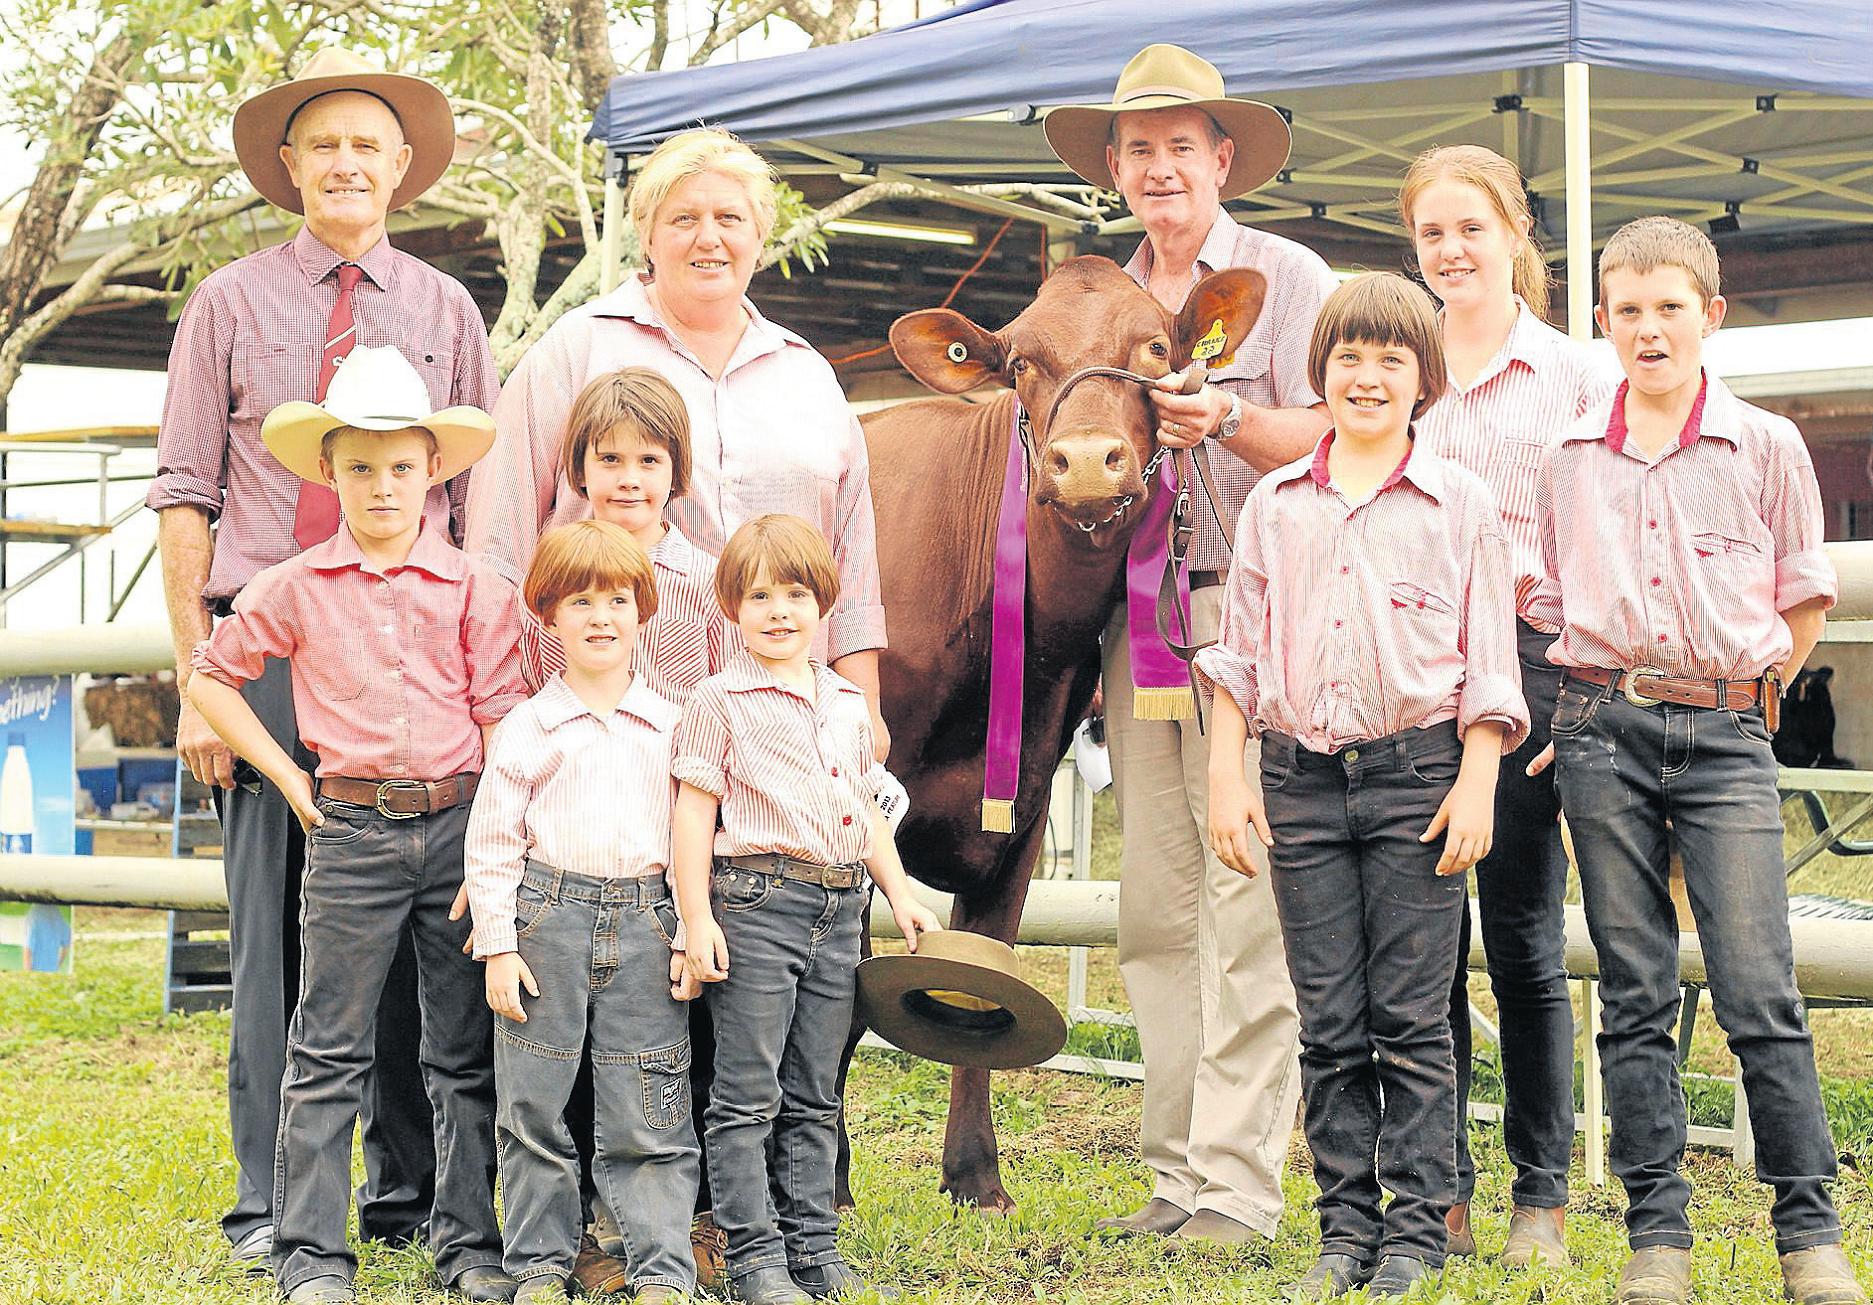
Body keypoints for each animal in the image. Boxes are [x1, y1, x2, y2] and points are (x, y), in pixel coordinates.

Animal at [842, 256, 1266, 1213]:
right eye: (1022, 362)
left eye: (1155, 349)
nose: (1084, 464)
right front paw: (825, 1182)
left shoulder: (1024, 810)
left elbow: (981, 981)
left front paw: (975, 1177)